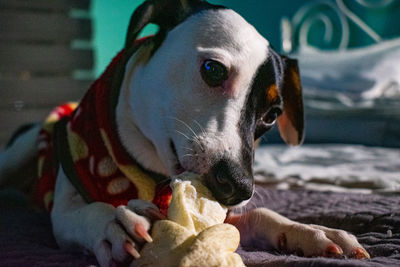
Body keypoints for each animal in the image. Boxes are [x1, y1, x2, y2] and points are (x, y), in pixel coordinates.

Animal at [0, 0, 368, 266]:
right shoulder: (63, 215)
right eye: (213, 69)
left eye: (272, 114)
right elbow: (84, 215)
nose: (239, 187)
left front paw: (313, 232)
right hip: (20, 150)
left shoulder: (224, 217)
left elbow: (262, 215)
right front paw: (114, 223)